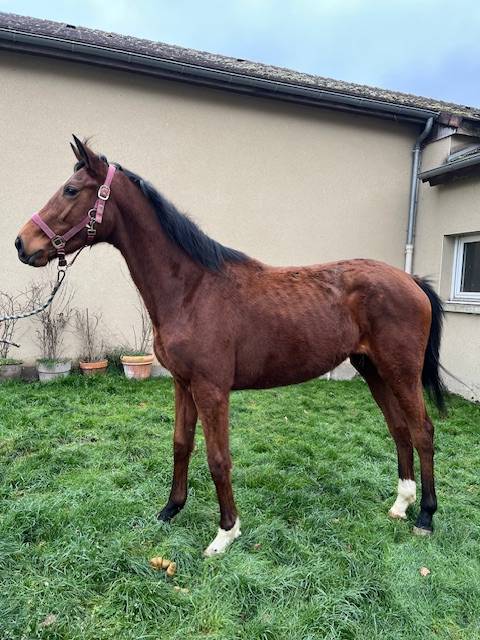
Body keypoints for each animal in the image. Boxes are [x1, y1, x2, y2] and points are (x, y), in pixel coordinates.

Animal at [15, 136, 445, 556]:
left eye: (71, 190)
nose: (22, 243)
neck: (192, 289)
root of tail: (411, 281)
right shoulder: (182, 384)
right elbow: (181, 444)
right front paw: (170, 509)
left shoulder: (212, 390)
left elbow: (218, 458)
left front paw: (225, 533)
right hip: (373, 369)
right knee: (398, 428)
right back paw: (401, 504)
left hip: (401, 372)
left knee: (422, 430)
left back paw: (426, 516)